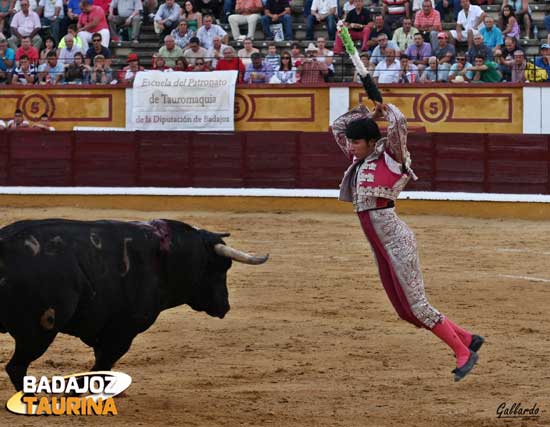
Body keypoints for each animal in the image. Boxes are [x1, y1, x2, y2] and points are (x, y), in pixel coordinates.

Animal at [0, 221, 270, 392]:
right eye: (221, 267)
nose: (225, 306)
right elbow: (101, 368)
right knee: (16, 367)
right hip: (38, 332)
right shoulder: (122, 332)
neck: (164, 256)